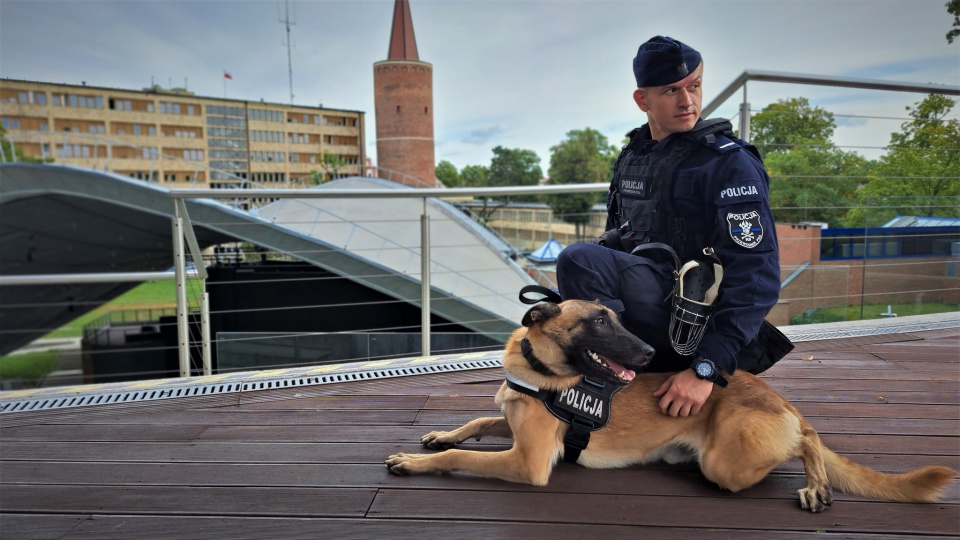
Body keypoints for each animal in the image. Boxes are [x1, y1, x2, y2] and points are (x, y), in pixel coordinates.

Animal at [386, 302, 956, 512]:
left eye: (615, 318)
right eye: (599, 320)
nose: (646, 352)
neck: (540, 371)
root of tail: (780, 400)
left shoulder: (528, 462)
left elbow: (460, 457)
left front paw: (416, 461)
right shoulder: (511, 424)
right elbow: (478, 421)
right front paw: (441, 434)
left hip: (730, 459)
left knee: (807, 439)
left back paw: (815, 481)